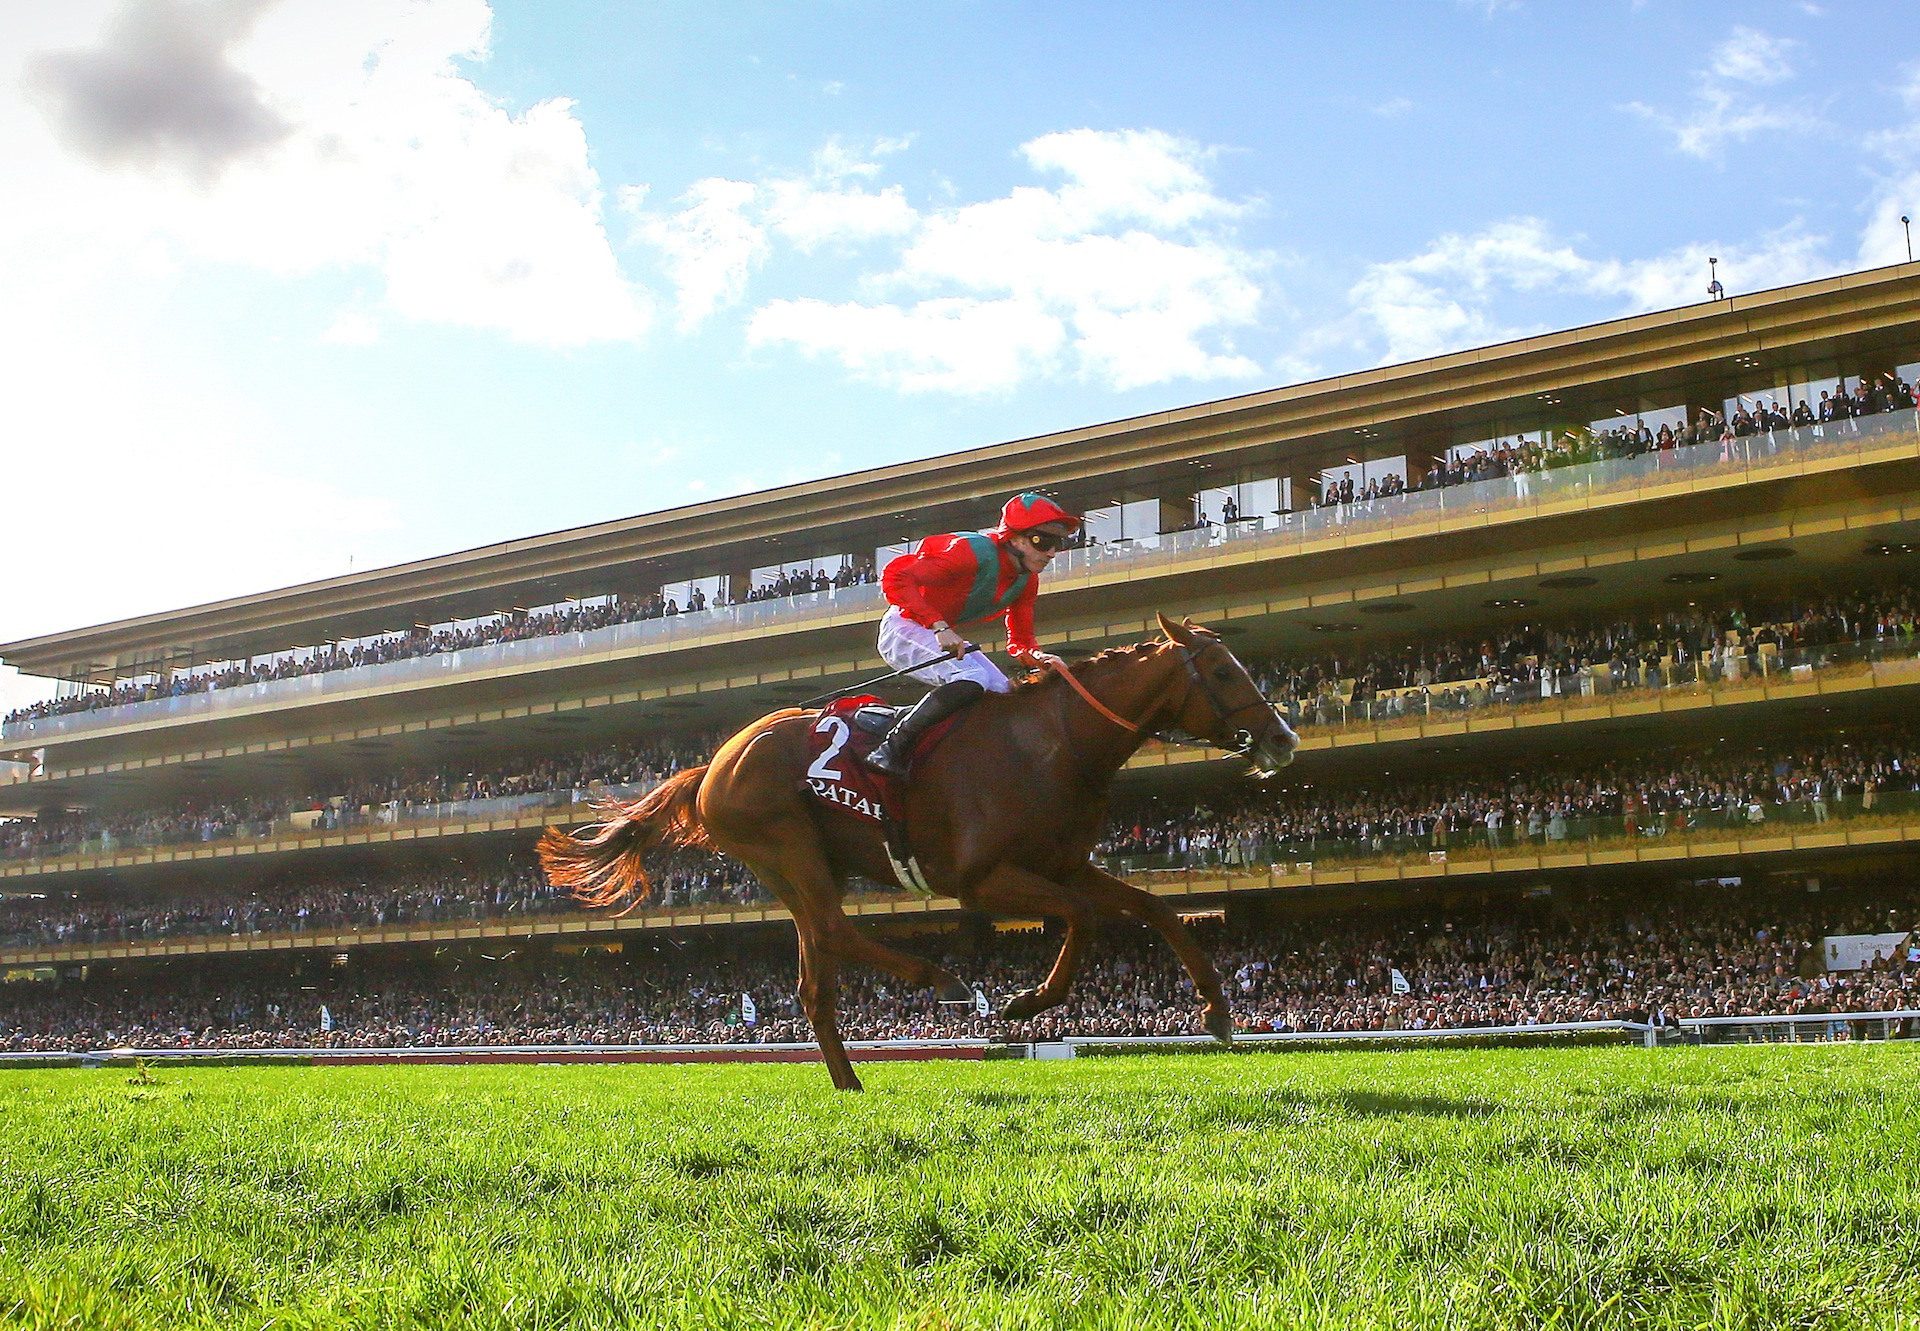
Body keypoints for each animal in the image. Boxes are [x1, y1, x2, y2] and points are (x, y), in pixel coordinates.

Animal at [533, 610, 1297, 1090]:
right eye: (1223, 673)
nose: (1283, 738)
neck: (1055, 741)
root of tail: (714, 762)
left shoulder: (1061, 862)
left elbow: (1151, 907)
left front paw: (1216, 1011)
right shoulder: (980, 878)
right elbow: (1084, 916)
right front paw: (1027, 1000)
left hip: (804, 864)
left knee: (817, 970)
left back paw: (850, 1080)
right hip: (787, 846)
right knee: (834, 932)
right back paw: (943, 980)